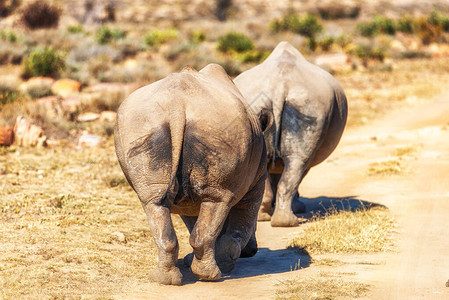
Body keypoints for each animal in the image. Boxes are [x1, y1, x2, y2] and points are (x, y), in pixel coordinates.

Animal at [114, 63, 268, 286]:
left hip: (140, 126)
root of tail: (177, 105)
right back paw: (211, 276)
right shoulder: (257, 180)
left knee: (153, 201)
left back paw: (164, 280)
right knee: (217, 200)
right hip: (218, 127)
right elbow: (242, 221)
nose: (253, 251)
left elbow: (194, 219)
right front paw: (227, 262)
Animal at [233, 41, 348, 226]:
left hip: (269, 102)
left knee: (275, 161)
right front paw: (298, 206)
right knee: (298, 162)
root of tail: (280, 86)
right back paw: (289, 221)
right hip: (311, 104)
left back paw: (269, 219)